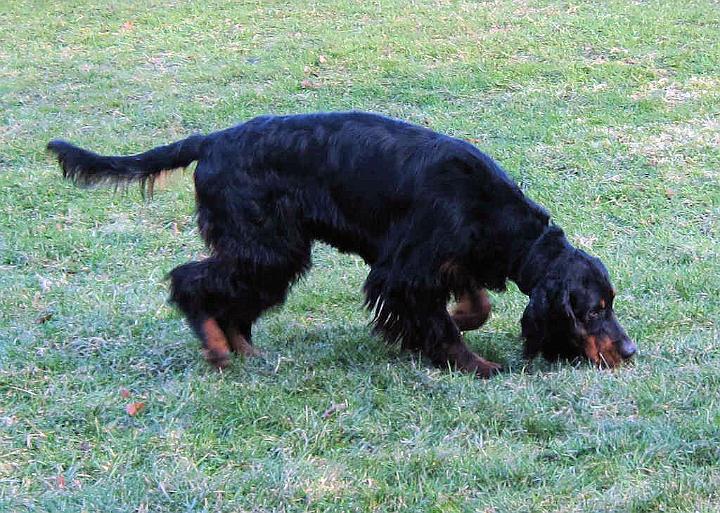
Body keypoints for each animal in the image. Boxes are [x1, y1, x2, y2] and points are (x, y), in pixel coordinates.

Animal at [49, 111, 636, 376]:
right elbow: (439, 321)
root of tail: (212, 140)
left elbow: (476, 302)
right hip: (266, 247)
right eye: (593, 311)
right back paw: (217, 347)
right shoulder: (403, 269)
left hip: (269, 252)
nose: (629, 350)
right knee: (191, 280)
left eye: (609, 305)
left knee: (231, 296)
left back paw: (243, 347)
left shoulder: (449, 259)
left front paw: (458, 318)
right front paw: (469, 362)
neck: (490, 209)